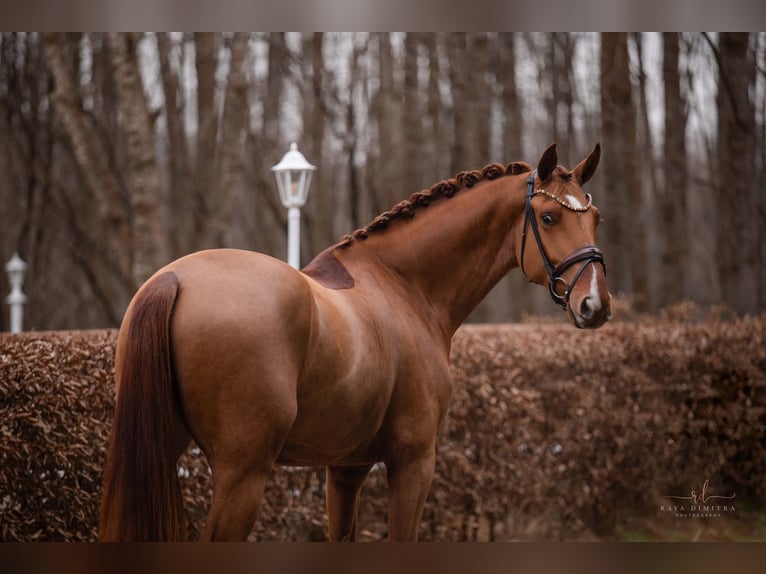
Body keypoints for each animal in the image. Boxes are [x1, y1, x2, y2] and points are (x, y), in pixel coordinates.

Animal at [99, 145, 612, 544]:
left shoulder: (346, 469)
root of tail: (173, 280)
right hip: (242, 473)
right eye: (549, 217)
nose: (596, 305)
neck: (403, 286)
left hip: (158, 456)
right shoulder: (413, 462)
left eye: (595, 219)